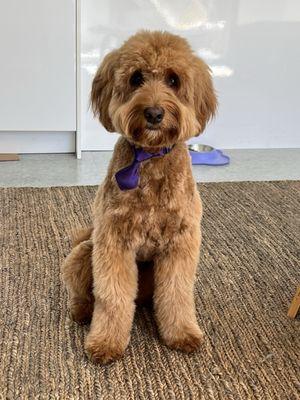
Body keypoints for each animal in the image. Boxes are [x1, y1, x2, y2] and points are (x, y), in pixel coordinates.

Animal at [61, 29, 216, 364]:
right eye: (136, 78)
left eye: (173, 80)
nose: (154, 113)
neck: (149, 159)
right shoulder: (113, 241)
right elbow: (111, 296)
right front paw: (105, 342)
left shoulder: (181, 242)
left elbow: (176, 292)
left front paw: (182, 333)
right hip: (84, 252)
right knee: (83, 293)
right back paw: (82, 312)